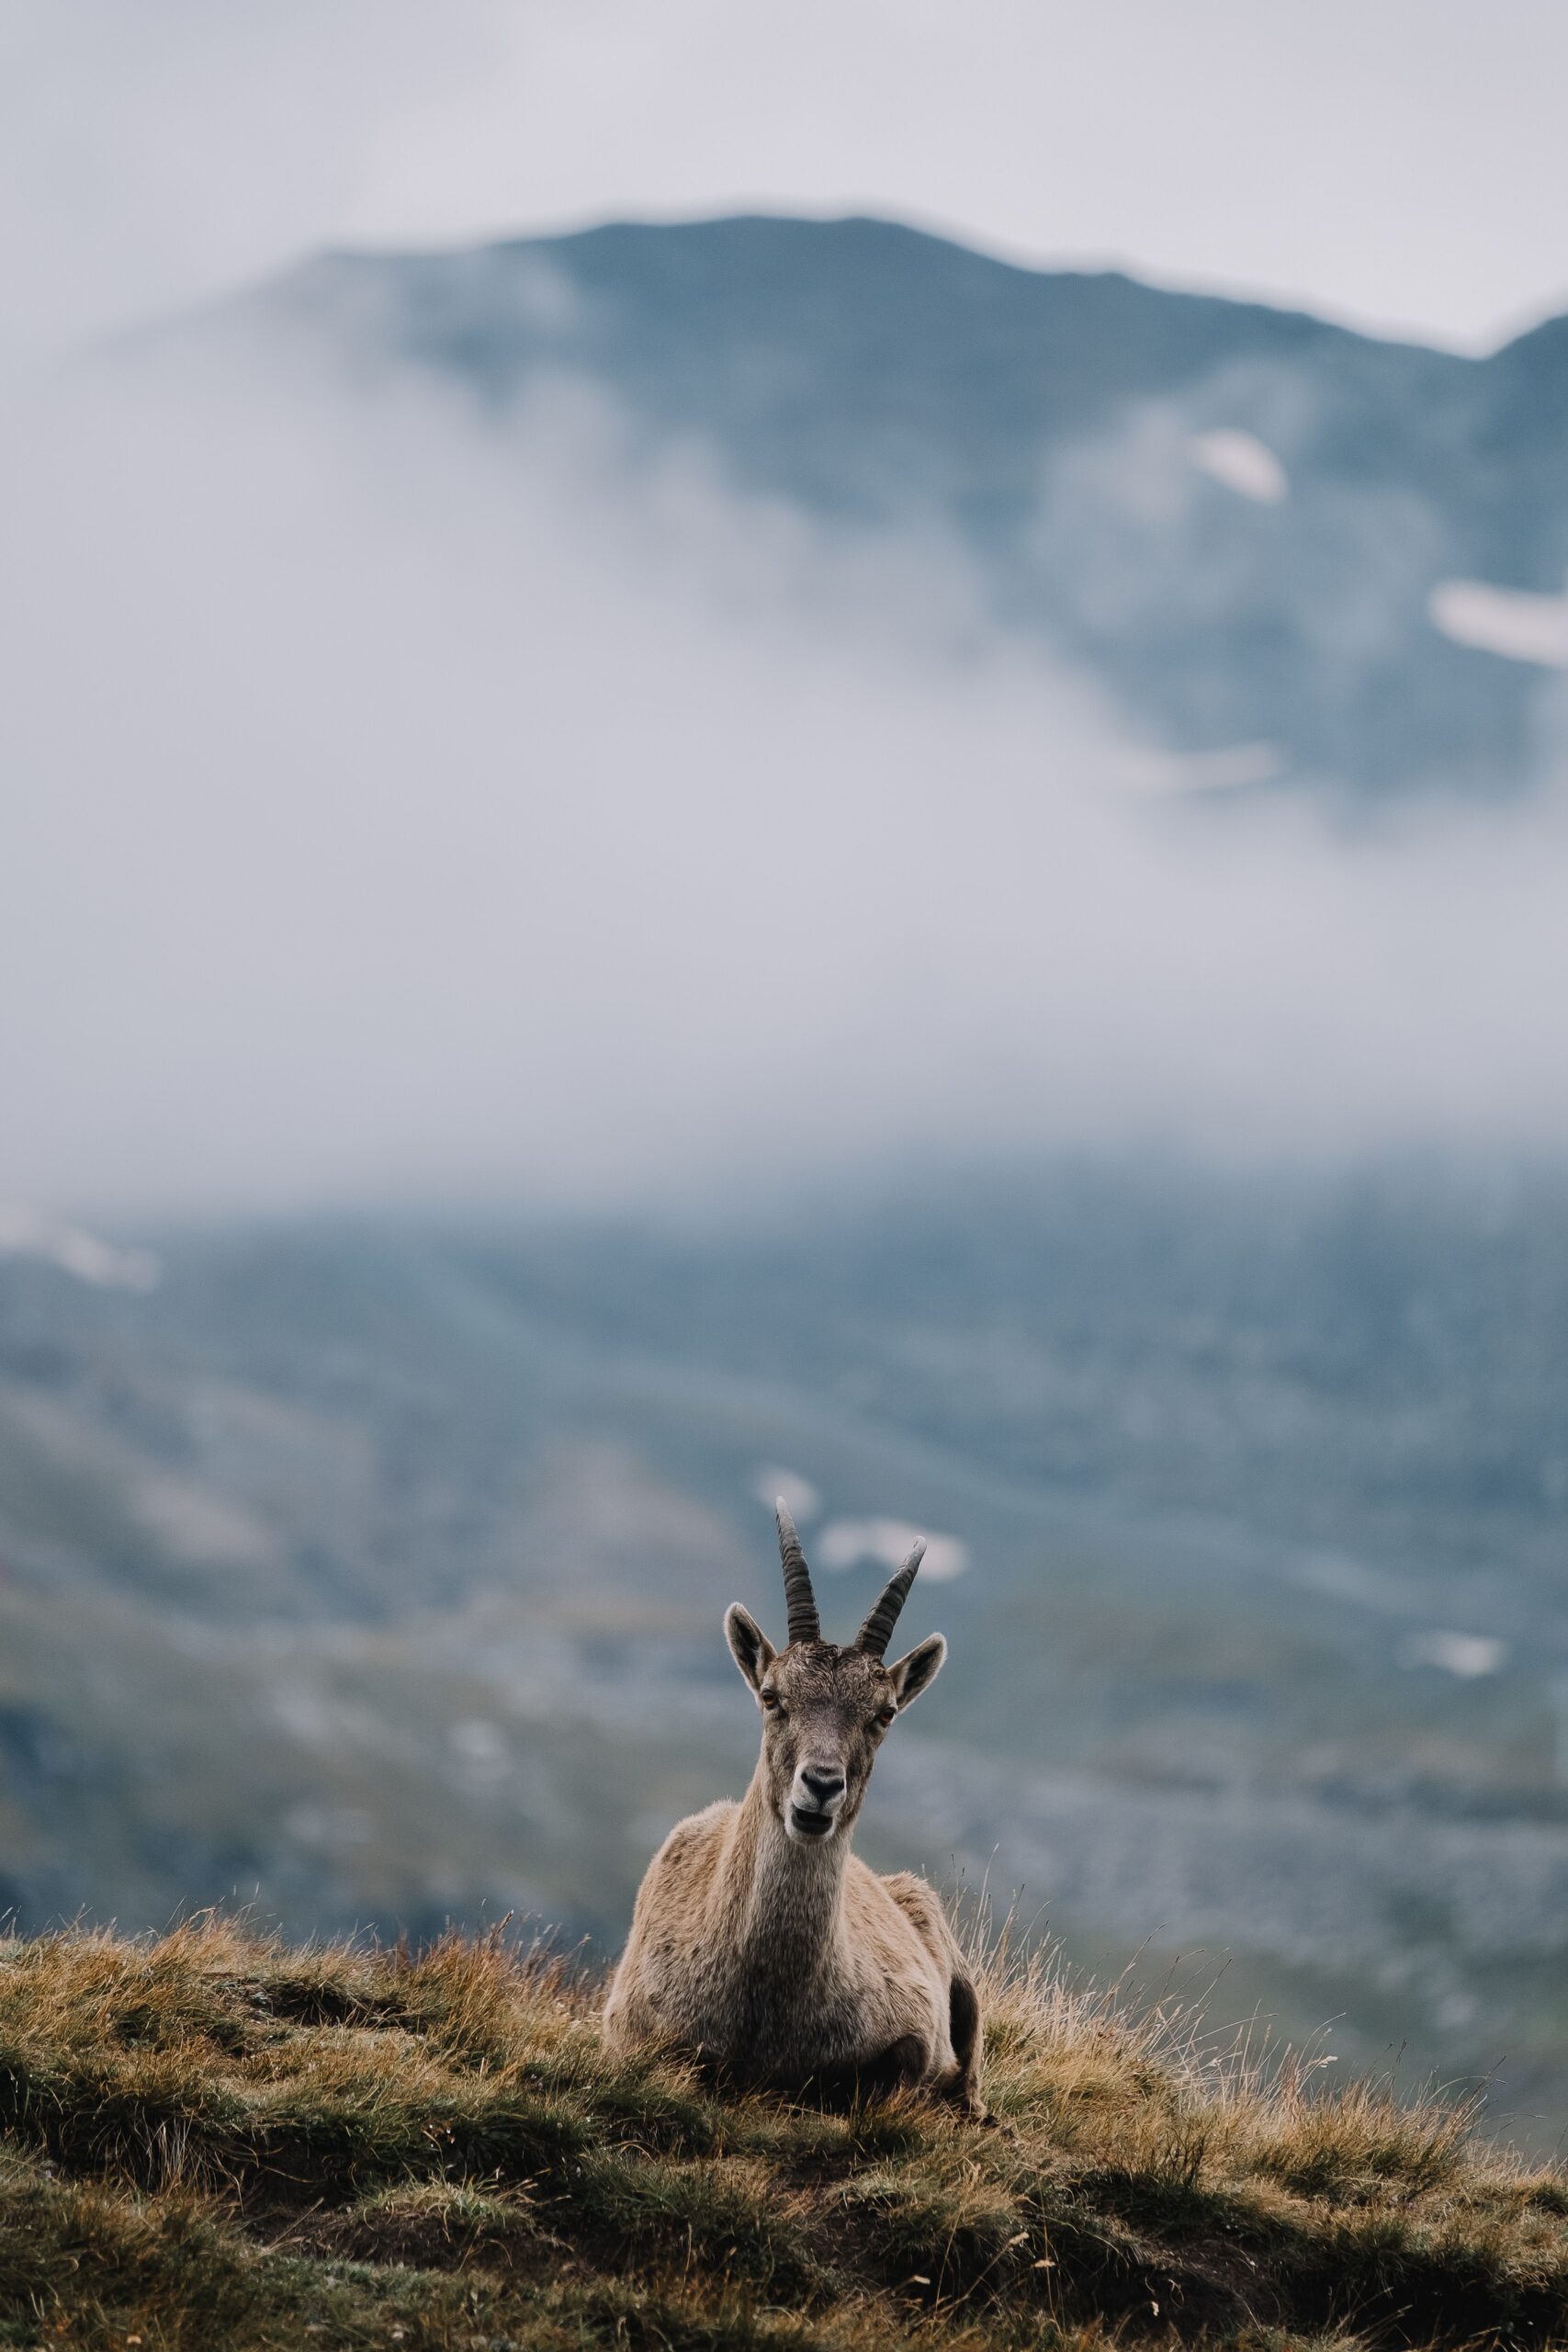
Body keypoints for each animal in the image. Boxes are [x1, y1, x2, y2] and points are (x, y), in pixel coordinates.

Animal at [602, 1502, 984, 2116]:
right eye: (771, 1696)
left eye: (884, 1714)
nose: (821, 1785)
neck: (768, 1998)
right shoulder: (629, 2028)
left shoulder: (914, 2024)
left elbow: (909, 2061)